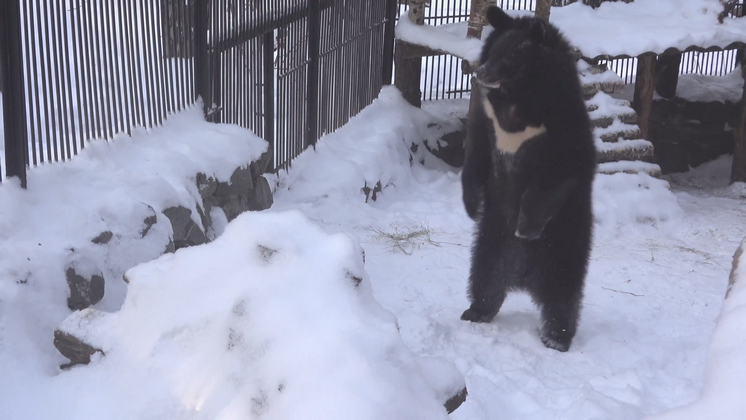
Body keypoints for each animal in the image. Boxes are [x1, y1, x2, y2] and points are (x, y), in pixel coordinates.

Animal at [456, 7, 596, 354]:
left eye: (509, 57)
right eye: (492, 52)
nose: (480, 73)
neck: (517, 97)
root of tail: (524, 276)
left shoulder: (561, 125)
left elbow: (557, 174)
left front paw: (526, 225)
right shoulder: (487, 118)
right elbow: (475, 150)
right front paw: (472, 203)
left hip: (565, 238)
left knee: (563, 292)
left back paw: (556, 337)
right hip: (491, 238)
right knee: (485, 275)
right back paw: (476, 310)